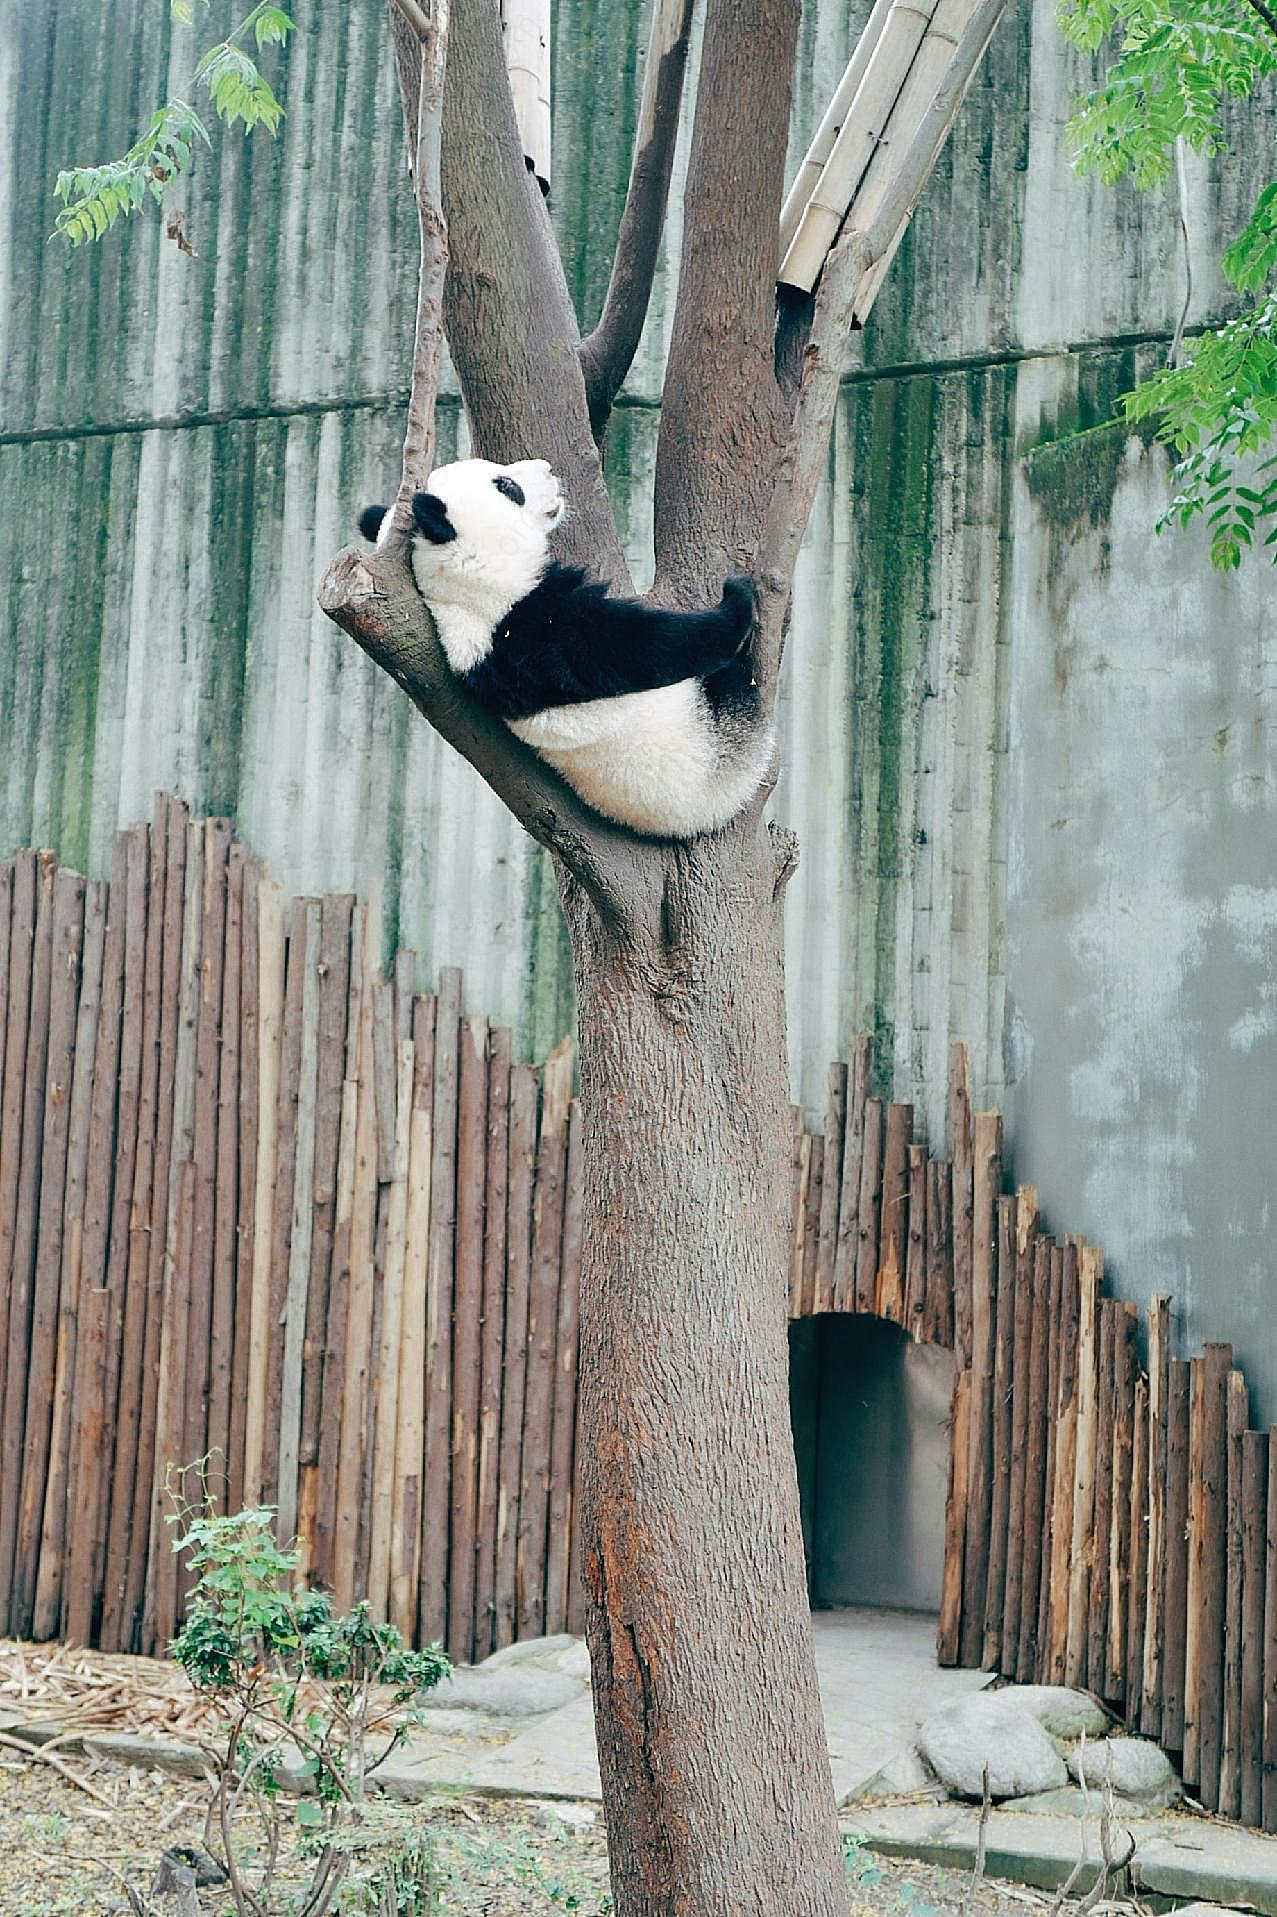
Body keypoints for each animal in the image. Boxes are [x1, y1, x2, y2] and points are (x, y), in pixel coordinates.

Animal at [354, 456, 766, 839]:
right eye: (507, 487)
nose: (547, 467)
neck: (464, 586)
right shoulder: (532, 630)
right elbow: (640, 647)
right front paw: (736, 602)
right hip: (713, 741)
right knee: (732, 691)